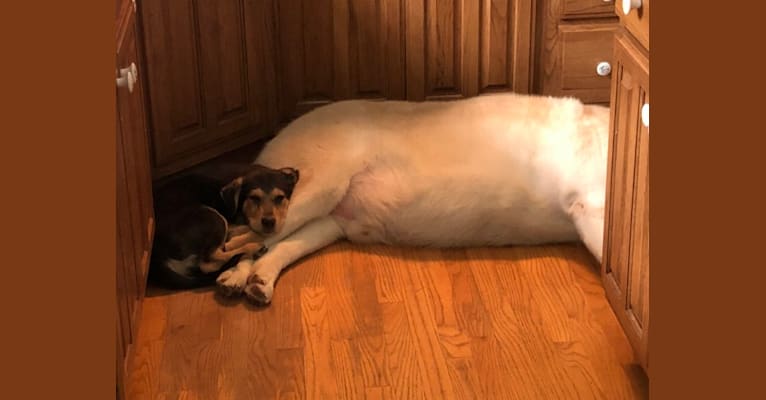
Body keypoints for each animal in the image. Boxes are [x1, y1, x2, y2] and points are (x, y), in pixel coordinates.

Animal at [148, 164, 298, 290]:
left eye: (280, 198)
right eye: (254, 198)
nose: (269, 222)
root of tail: (155, 256)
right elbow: (254, 232)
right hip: (212, 217)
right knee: (208, 262)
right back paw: (251, 248)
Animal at [218, 92, 612, 304]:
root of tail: (281, 133)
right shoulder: (591, 207)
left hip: (327, 220)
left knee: (277, 247)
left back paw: (260, 281)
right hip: (314, 191)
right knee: (242, 236)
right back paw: (235, 278)